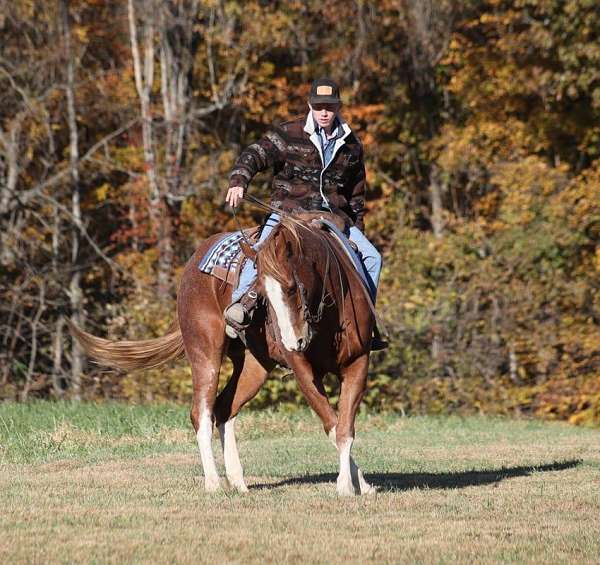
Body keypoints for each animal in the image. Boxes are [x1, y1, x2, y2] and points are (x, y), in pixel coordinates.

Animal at [71, 210, 376, 494]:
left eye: (291, 288)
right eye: (262, 291)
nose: (294, 341)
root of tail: (194, 261)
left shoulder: (358, 362)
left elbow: (344, 428)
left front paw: (359, 484)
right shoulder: (303, 370)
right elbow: (333, 425)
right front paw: (346, 486)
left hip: (255, 365)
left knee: (224, 408)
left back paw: (238, 481)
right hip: (205, 353)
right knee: (202, 413)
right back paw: (214, 482)